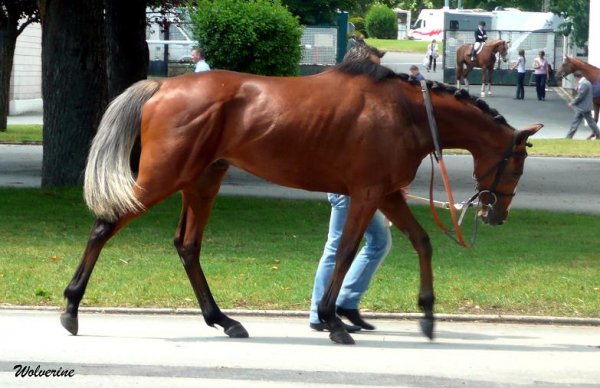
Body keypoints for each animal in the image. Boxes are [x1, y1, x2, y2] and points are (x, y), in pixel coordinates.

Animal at [62, 44, 544, 344]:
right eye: (517, 164)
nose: (496, 214)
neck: (405, 112)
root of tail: (163, 86)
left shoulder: (388, 194)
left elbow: (421, 241)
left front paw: (426, 315)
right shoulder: (367, 193)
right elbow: (346, 251)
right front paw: (333, 321)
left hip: (202, 181)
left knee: (188, 245)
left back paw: (222, 319)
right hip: (163, 177)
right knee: (105, 225)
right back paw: (70, 308)